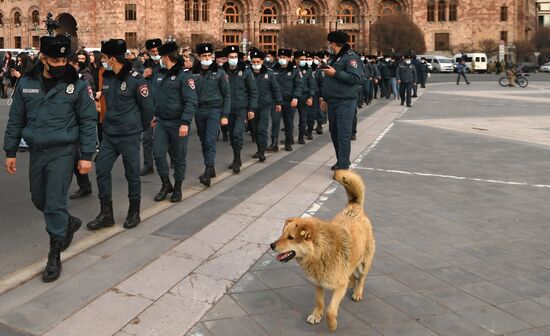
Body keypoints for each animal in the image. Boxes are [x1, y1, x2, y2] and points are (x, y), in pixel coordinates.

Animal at [270, 169, 376, 332]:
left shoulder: (339, 287)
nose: (271, 245)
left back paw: (358, 292)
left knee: (362, 278)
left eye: (290, 237)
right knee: (352, 274)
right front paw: (316, 316)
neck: (320, 253)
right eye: (282, 234)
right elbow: (320, 303)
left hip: (365, 262)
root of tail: (354, 207)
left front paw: (332, 325)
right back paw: (352, 284)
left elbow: (330, 310)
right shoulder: (318, 284)